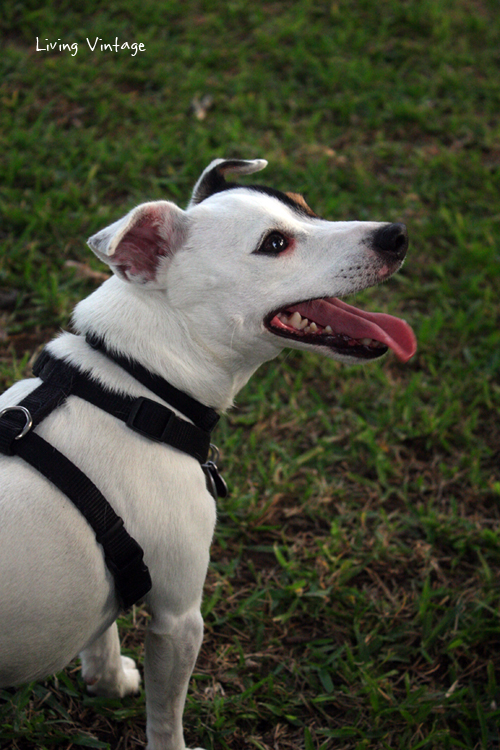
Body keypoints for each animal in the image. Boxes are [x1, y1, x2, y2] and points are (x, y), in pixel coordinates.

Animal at [0, 157, 416, 748]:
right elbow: (166, 714)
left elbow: (102, 634)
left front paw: (108, 680)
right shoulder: (179, 618)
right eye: (274, 244)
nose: (395, 235)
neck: (134, 388)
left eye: (305, 206)